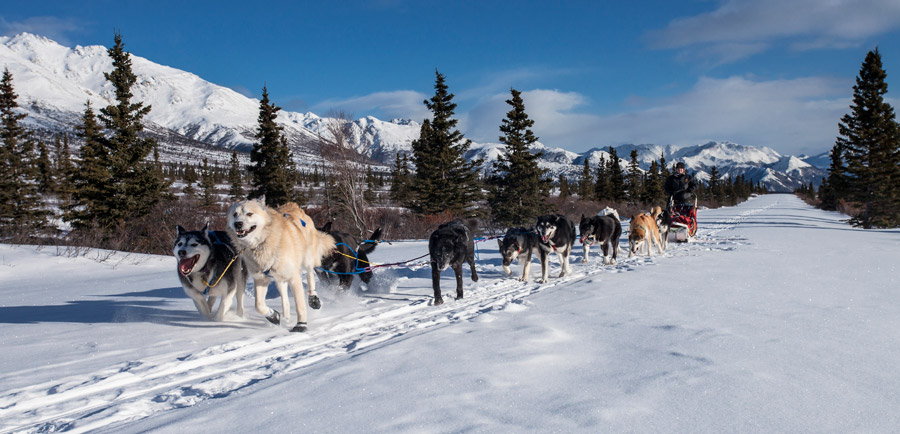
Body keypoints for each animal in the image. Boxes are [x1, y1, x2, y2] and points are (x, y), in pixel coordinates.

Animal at [227, 197, 336, 332]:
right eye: (235, 214)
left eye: (249, 214)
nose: (238, 224)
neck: (262, 242)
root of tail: (293, 206)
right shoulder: (261, 278)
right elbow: (258, 305)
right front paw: (273, 316)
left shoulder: (294, 277)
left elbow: (300, 304)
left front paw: (301, 325)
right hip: (279, 279)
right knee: (285, 299)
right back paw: (286, 317)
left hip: (307, 259)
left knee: (311, 274)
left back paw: (314, 299)